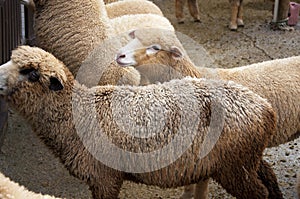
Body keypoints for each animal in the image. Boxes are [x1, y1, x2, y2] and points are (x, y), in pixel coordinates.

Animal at [0, 45, 282, 199]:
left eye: (31, 73)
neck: (77, 115)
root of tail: (266, 108)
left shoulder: (104, 178)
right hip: (247, 158)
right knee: (269, 176)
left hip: (235, 168)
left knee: (259, 192)